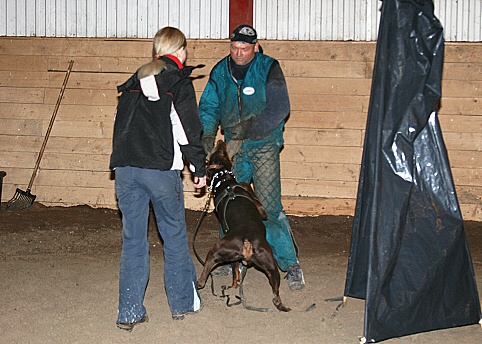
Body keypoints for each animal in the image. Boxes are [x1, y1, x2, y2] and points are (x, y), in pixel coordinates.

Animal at [196, 140, 290, 312]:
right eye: (221, 151)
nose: (220, 141)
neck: (225, 181)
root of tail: (247, 240)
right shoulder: (261, 210)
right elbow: (246, 184)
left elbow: (235, 271)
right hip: (266, 263)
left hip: (250, 259)